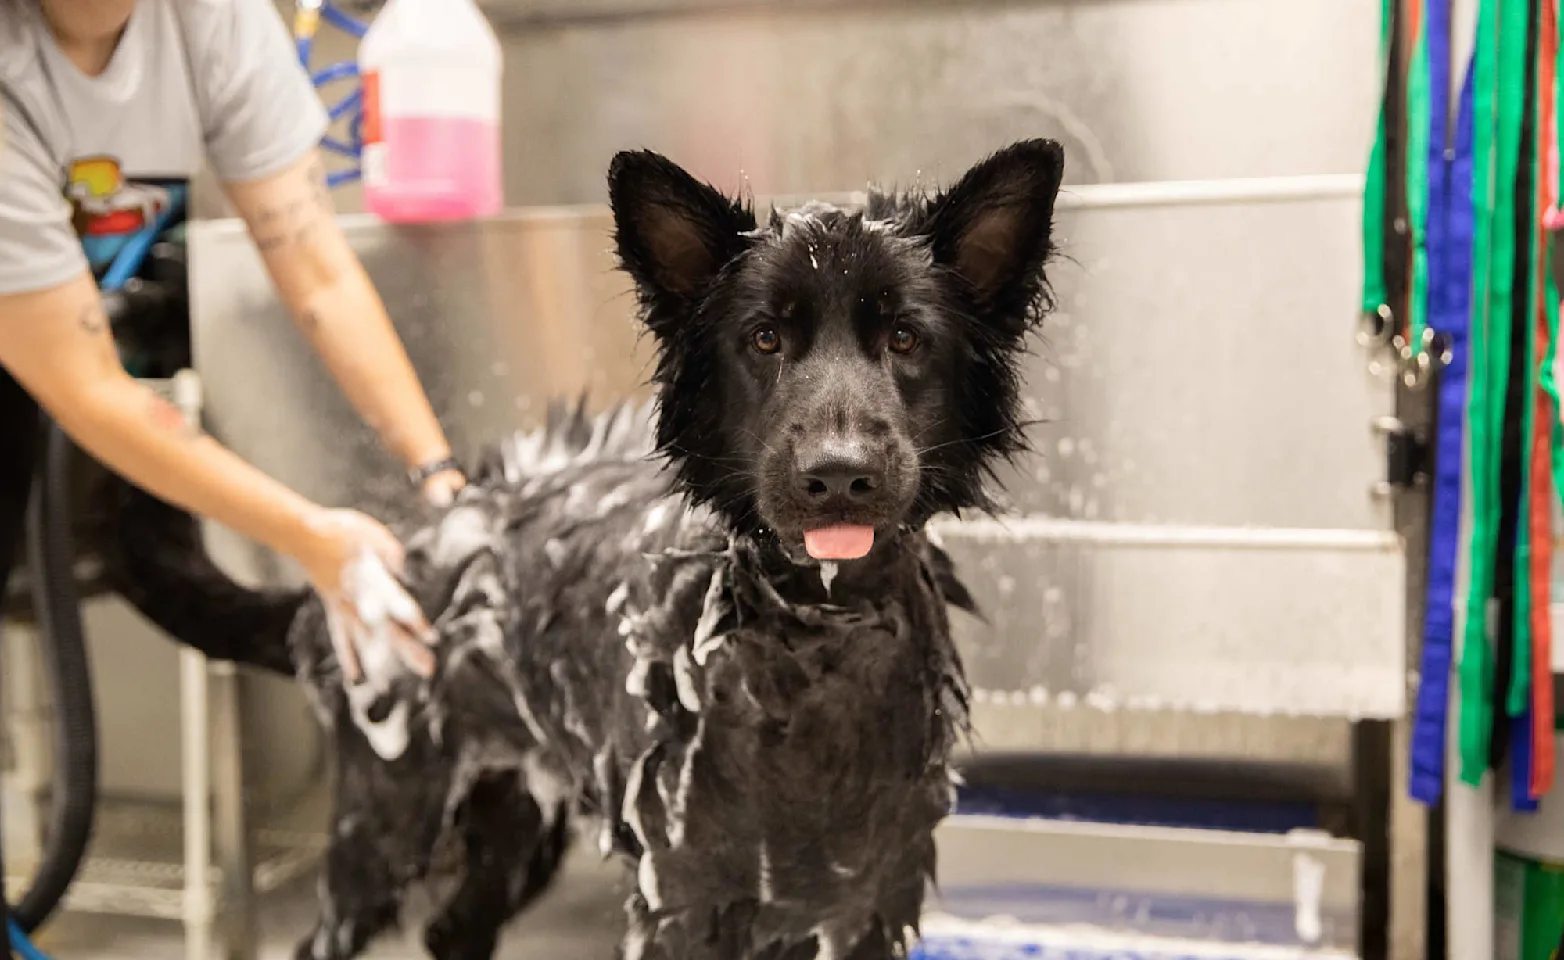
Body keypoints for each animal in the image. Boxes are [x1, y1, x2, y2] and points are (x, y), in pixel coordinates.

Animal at [107, 137, 1063, 960]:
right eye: (764, 338)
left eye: (905, 338)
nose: (837, 475)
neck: (818, 638)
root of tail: (405, 548)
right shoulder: (684, 905)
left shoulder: (869, 907)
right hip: (385, 823)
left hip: (516, 820)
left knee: (454, 930)